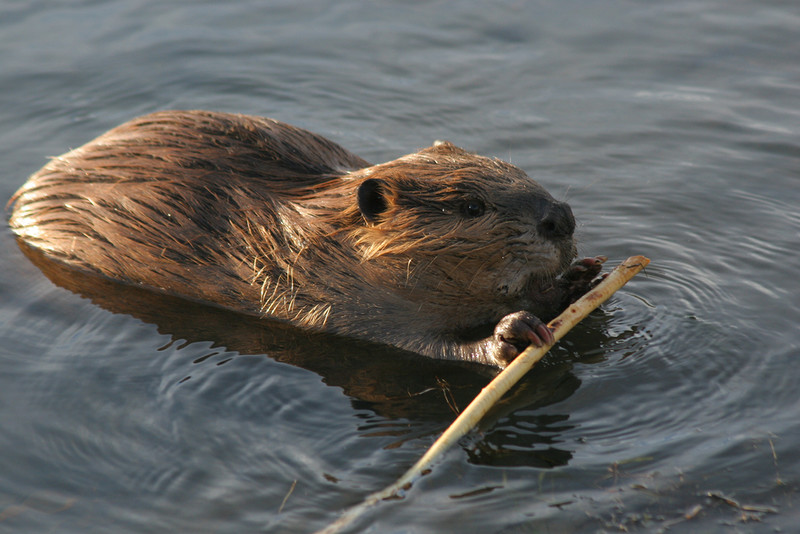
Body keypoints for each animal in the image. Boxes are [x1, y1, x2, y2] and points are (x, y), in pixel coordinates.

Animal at [7, 109, 608, 368]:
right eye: (471, 206)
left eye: (516, 169)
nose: (561, 218)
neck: (320, 233)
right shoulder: (334, 300)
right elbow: (419, 345)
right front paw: (511, 335)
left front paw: (582, 277)